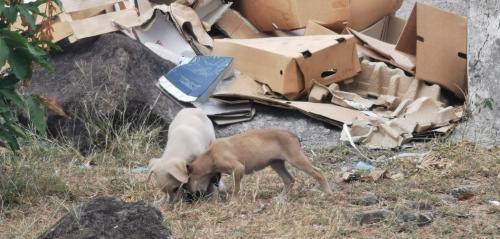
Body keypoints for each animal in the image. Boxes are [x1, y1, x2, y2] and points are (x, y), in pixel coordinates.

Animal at [186, 128, 334, 197]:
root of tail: (292, 134)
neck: (210, 155)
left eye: (188, 180)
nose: (192, 195)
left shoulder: (238, 169)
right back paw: (281, 198)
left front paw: (234, 201)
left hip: (296, 159)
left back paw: (327, 192)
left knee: (318, 172)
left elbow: (237, 188)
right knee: (289, 180)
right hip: (276, 164)